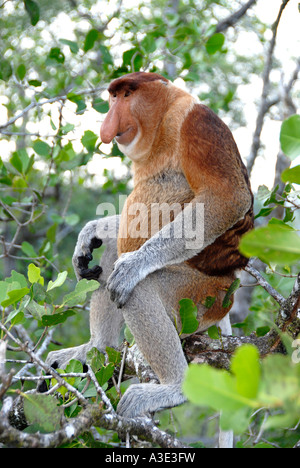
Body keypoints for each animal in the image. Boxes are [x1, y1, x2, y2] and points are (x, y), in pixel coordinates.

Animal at [46, 72, 253, 432]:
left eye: (127, 95)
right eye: (113, 97)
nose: (109, 122)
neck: (160, 128)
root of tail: (230, 285)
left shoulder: (197, 123)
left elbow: (226, 196)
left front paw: (133, 266)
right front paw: (90, 233)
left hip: (201, 297)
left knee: (138, 288)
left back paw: (174, 388)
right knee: (106, 262)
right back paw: (96, 348)